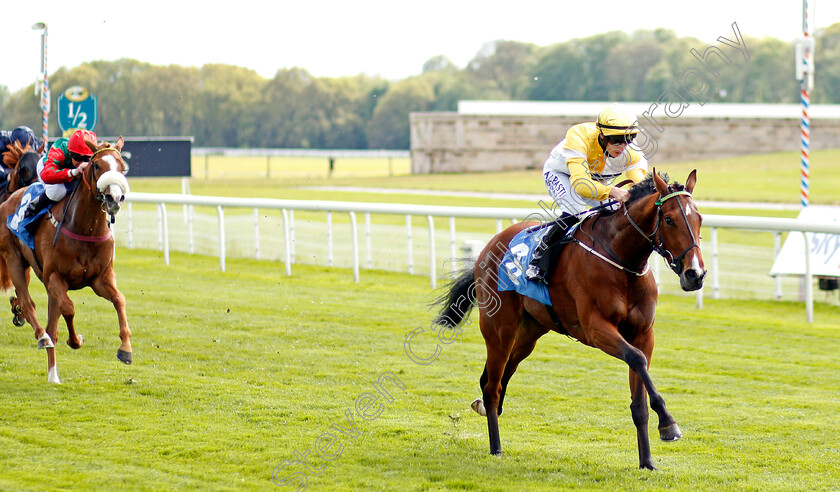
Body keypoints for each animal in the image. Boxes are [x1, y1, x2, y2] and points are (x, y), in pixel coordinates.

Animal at [0, 135, 131, 384]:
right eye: (96, 165)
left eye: (122, 167)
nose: (115, 198)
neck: (85, 227)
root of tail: (9, 199)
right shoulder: (54, 277)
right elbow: (69, 309)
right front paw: (75, 340)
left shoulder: (101, 278)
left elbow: (119, 300)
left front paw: (126, 349)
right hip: (14, 260)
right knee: (31, 306)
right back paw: (41, 337)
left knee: (46, 320)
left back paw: (53, 374)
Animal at [436, 171, 704, 470]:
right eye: (669, 219)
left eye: (700, 218)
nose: (695, 274)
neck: (621, 259)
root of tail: (489, 247)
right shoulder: (596, 329)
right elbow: (635, 358)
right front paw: (669, 424)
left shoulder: (644, 334)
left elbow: (639, 398)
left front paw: (647, 461)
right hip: (499, 330)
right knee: (493, 385)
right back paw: (496, 447)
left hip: (529, 333)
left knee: (498, 376)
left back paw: (482, 406)